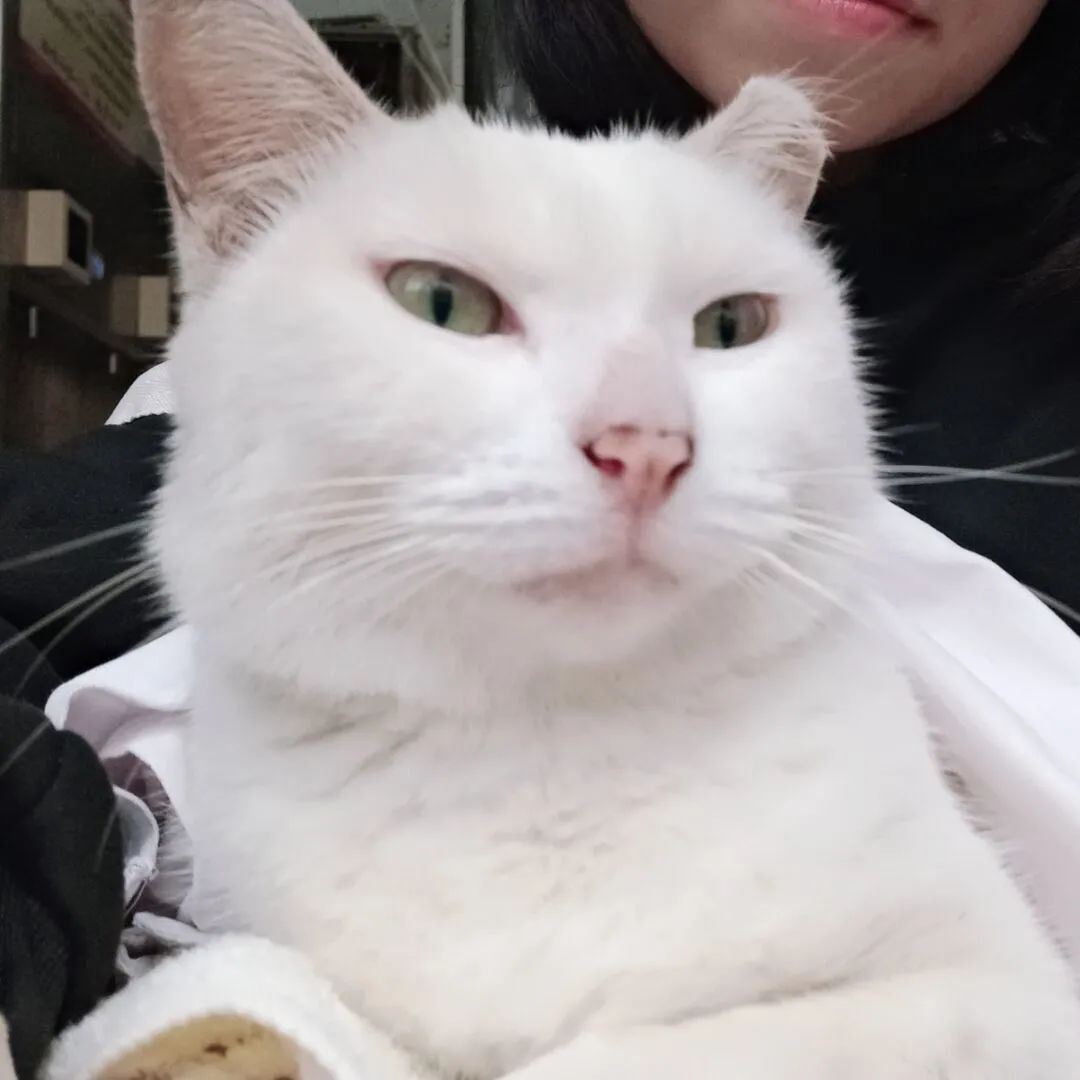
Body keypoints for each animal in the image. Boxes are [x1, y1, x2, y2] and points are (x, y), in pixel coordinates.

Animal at [135, 1, 1080, 1077]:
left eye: (730, 324)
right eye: (440, 300)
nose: (647, 443)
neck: (552, 753)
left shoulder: (997, 988)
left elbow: (672, 1047)